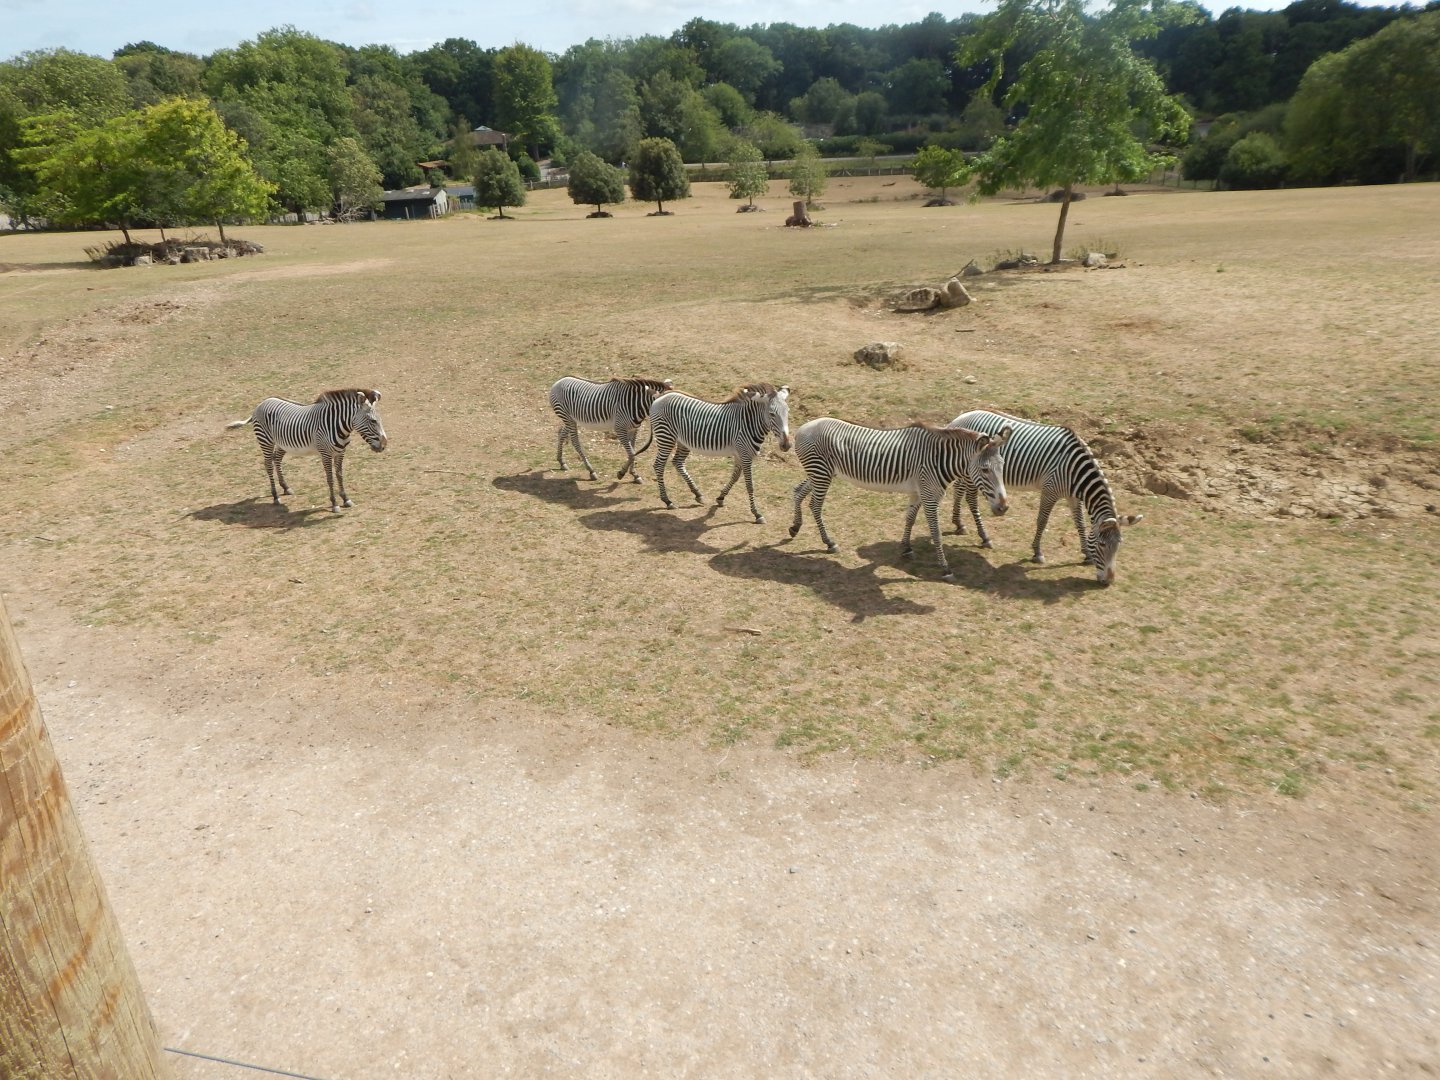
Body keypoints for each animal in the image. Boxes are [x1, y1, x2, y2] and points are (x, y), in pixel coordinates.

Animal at [227, 389, 387, 512]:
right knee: (268, 464)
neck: (338, 426)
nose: (384, 445)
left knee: (276, 459)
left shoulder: (340, 452)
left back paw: (285, 487)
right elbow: (330, 478)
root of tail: (261, 403)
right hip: (266, 440)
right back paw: (275, 496)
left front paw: (346, 499)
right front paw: (334, 504)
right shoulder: (325, 454)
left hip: (282, 443)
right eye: (373, 421)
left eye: (379, 419)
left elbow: (340, 475)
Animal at [649, 383, 793, 523]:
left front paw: (721, 498)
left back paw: (697, 494)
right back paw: (667, 501)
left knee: (677, 462)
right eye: (772, 414)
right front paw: (756, 513)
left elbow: (735, 477)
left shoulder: (740, 455)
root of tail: (662, 396)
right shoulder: (745, 455)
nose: (786, 445)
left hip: (682, 441)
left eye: (787, 412)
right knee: (659, 466)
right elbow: (750, 485)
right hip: (666, 437)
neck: (748, 423)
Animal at [788, 418, 1011, 578]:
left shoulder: (919, 492)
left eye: (1002, 466)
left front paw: (906, 548)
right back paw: (829, 542)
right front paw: (945, 567)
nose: (1004, 508)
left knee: (798, 491)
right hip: (821, 473)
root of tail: (803, 428)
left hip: (821, 473)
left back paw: (795, 527)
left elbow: (909, 519)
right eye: (985, 470)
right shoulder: (930, 496)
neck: (939, 459)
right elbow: (936, 533)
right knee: (815, 505)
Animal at [948, 409, 1142, 584]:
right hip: (974, 472)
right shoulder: (1050, 491)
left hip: (967, 472)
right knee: (970, 498)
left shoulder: (1073, 496)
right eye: (1102, 545)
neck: (1075, 471)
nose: (1108, 582)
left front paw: (1086, 553)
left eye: (1119, 544)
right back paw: (984, 536)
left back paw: (959, 524)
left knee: (958, 489)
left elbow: (1080, 522)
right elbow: (1042, 520)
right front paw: (1037, 552)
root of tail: (962, 416)